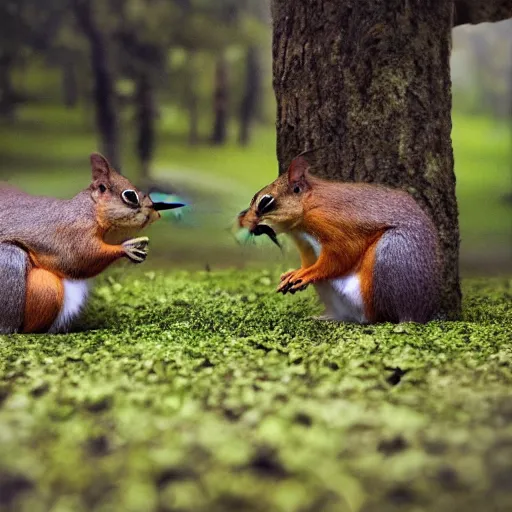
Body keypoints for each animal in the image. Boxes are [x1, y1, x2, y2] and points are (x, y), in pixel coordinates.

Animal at [0, 154, 184, 334]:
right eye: (130, 196)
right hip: (10, 263)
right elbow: (82, 257)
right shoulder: (73, 233)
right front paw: (127, 248)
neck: (90, 210)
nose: (155, 210)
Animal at [238, 150, 442, 324]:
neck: (308, 205)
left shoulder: (333, 223)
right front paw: (297, 272)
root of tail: (417, 313)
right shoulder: (304, 242)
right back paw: (329, 317)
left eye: (266, 202)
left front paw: (309, 273)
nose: (241, 221)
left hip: (391, 254)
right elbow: (309, 259)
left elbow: (343, 252)